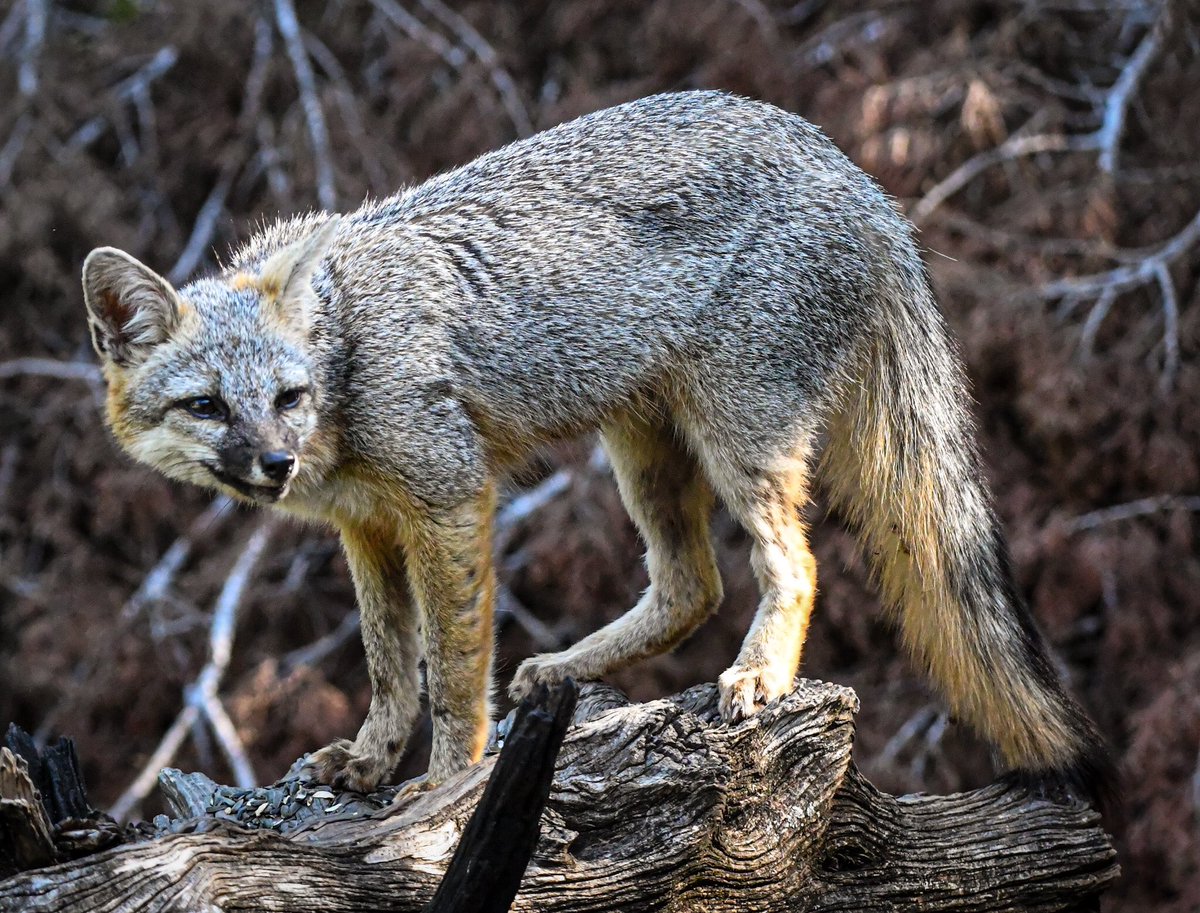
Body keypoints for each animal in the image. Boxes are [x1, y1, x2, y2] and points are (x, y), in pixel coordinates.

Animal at [82, 90, 1114, 807]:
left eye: (285, 398)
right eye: (210, 406)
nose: (276, 465)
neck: (347, 352)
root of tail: (855, 172)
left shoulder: (449, 502)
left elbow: (451, 671)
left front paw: (444, 782)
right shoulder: (367, 531)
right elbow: (386, 666)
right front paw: (372, 760)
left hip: (737, 436)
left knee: (795, 563)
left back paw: (759, 673)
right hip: (641, 448)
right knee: (692, 585)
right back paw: (572, 669)